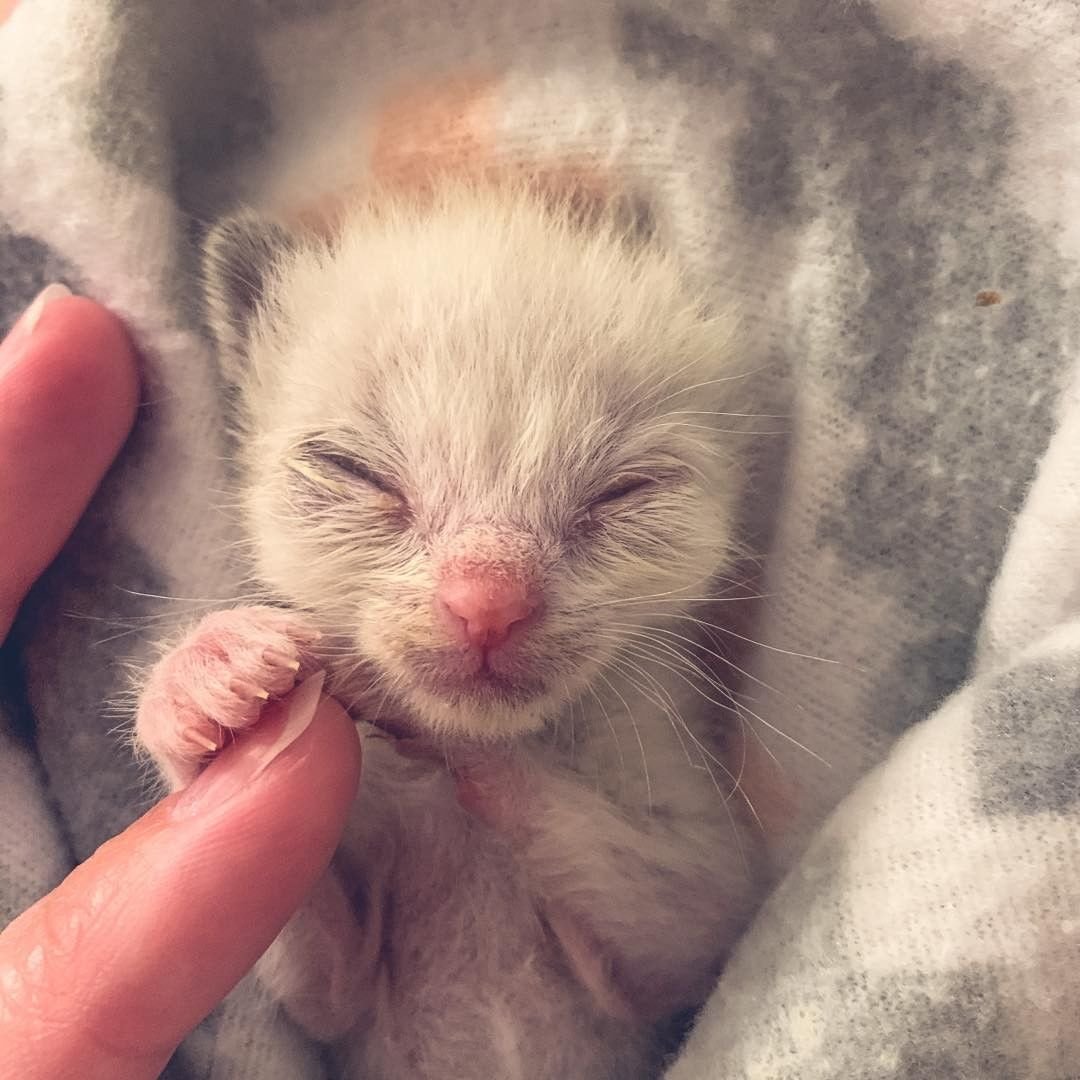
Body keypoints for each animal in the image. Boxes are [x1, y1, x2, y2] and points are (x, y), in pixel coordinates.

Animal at [132, 181, 760, 1075]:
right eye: (353, 471)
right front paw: (201, 679)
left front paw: (447, 739)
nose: (488, 602)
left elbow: (681, 907)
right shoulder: (335, 992)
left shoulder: (700, 929)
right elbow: (299, 956)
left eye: (627, 490)